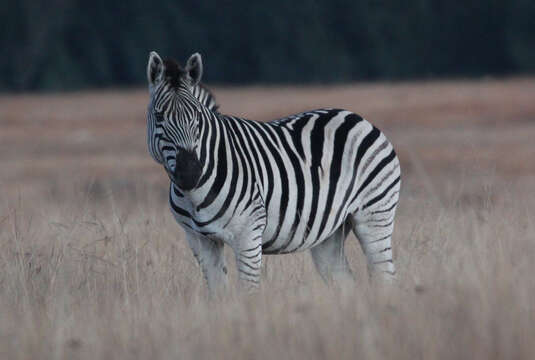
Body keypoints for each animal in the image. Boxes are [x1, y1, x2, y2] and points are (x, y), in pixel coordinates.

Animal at [144, 51, 400, 292]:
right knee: (344, 281)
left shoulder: (248, 236)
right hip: (330, 232)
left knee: (384, 276)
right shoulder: (199, 241)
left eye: (197, 117)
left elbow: (248, 293)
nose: (190, 173)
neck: (194, 196)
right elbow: (218, 295)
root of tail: (356, 117)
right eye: (159, 116)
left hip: (375, 214)